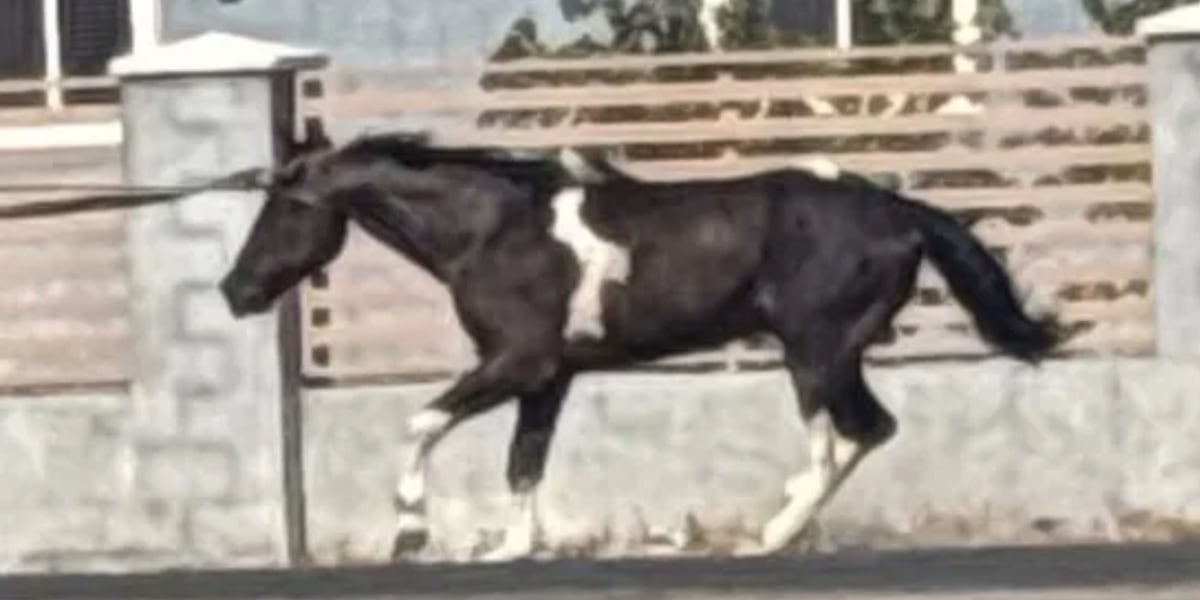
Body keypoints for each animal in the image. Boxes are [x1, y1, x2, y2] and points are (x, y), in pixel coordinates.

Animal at [218, 124, 1062, 562]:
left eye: (285, 207)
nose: (235, 290)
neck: (494, 231)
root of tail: (901, 211)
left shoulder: (515, 360)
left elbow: (421, 422)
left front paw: (410, 531)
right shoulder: (548, 376)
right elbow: (524, 461)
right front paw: (510, 549)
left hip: (815, 352)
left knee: (839, 438)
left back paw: (766, 536)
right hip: (834, 354)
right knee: (869, 431)